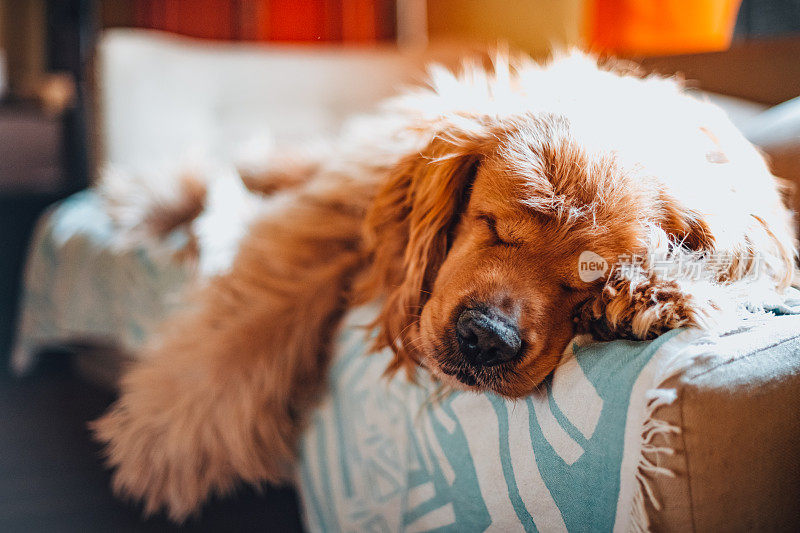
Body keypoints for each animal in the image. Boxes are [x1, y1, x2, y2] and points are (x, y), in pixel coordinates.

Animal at [92, 53, 792, 520]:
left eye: (582, 281)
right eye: (494, 225)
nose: (486, 339)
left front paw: (653, 290)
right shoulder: (339, 214)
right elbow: (249, 324)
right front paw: (164, 439)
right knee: (272, 167)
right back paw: (153, 199)